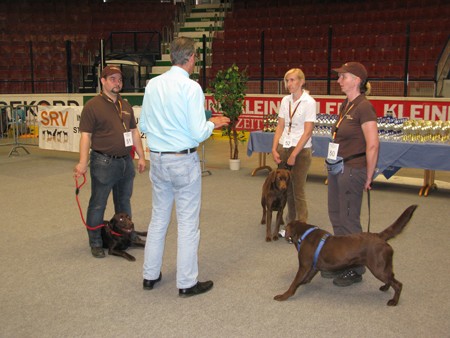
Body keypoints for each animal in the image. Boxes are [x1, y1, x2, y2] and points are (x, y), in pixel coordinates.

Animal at [274, 205, 418, 304]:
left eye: (285, 227)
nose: (280, 232)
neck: (304, 233)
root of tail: (379, 236)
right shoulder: (313, 266)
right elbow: (307, 277)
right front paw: (303, 282)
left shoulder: (304, 266)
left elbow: (294, 283)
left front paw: (283, 296)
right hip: (384, 266)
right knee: (391, 277)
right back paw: (385, 287)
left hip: (378, 268)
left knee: (398, 284)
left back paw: (393, 301)